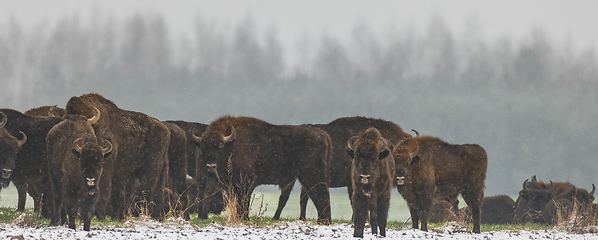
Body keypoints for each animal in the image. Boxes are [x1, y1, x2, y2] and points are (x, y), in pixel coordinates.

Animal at [195, 116, 332, 223]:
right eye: (203, 147)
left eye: (219, 147)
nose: (211, 167)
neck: (231, 144)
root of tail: (324, 135)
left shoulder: (246, 182)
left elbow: (244, 201)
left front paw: (244, 218)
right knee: (317, 197)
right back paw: (322, 221)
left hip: (312, 176)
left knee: (321, 195)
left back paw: (325, 221)